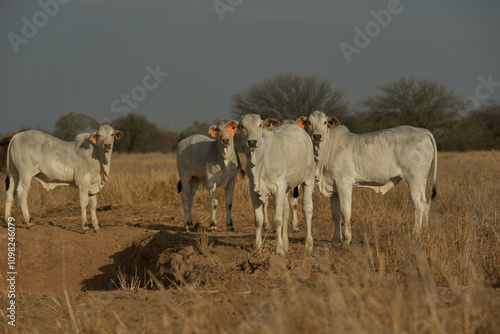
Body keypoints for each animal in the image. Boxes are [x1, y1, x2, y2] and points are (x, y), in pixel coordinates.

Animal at [239, 113, 316, 254]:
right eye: (242, 126)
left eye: (259, 125)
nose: (252, 142)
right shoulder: (253, 190)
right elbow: (258, 219)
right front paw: (257, 246)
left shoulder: (278, 188)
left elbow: (278, 219)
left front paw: (279, 248)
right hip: (287, 188)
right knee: (285, 210)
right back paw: (286, 242)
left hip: (308, 180)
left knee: (307, 208)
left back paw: (308, 244)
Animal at [296, 111, 438, 244]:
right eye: (309, 122)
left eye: (325, 122)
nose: (317, 136)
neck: (326, 152)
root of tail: (421, 130)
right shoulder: (333, 188)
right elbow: (336, 214)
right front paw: (336, 239)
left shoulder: (344, 184)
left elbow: (345, 211)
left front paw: (347, 239)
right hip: (423, 181)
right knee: (426, 202)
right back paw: (425, 232)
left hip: (414, 180)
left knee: (418, 205)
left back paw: (415, 235)